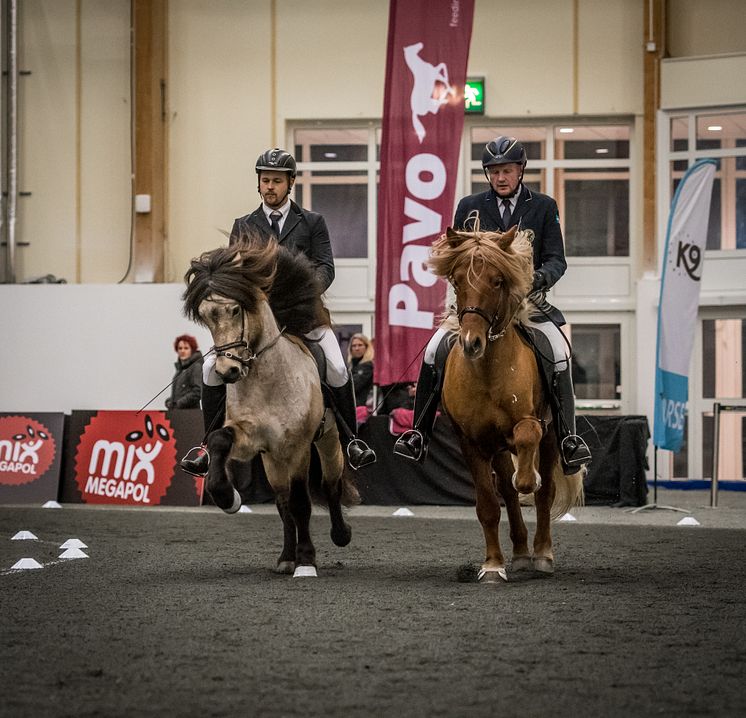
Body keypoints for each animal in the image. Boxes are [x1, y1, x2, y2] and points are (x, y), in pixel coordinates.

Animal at [179, 239, 354, 576]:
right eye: (205, 316)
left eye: (236, 309)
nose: (227, 371)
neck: (268, 381)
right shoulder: (251, 438)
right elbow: (220, 440)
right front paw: (227, 497)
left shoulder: (298, 447)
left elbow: (302, 503)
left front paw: (307, 561)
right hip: (272, 458)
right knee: (282, 501)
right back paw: (286, 557)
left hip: (327, 441)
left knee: (330, 484)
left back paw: (340, 534)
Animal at [430, 226, 580, 584]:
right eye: (457, 280)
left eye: (498, 281)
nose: (471, 343)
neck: (487, 371)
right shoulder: (471, 442)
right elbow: (488, 505)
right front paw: (493, 566)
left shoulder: (531, 423)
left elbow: (527, 454)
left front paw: (530, 479)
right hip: (495, 445)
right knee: (507, 493)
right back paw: (521, 553)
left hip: (552, 436)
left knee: (544, 492)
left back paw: (541, 554)